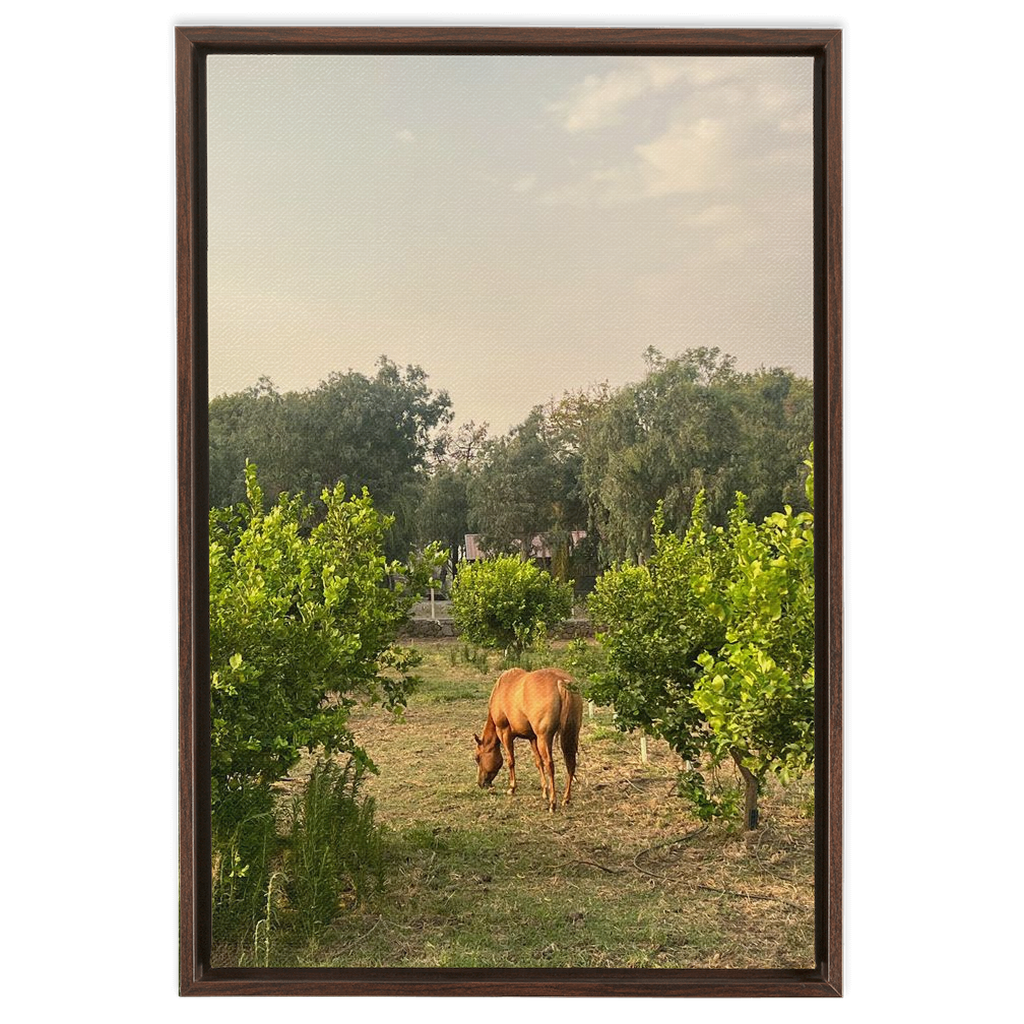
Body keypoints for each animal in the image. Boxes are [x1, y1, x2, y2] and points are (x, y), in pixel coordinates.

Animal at [473, 667, 585, 811]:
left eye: (477, 758)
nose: (481, 783)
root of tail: (561, 682)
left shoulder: (504, 733)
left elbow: (511, 761)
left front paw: (512, 788)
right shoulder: (532, 738)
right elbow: (538, 762)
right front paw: (544, 791)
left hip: (544, 738)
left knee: (550, 765)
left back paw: (553, 803)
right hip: (570, 735)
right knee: (570, 764)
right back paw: (566, 799)